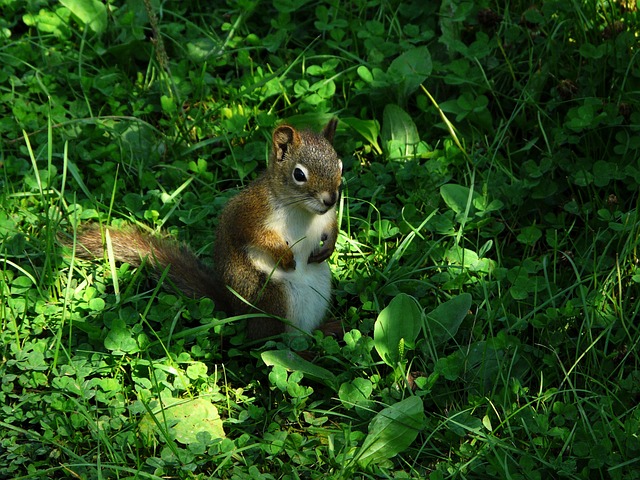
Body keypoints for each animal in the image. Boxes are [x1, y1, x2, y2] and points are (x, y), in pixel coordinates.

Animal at [72, 118, 342, 340]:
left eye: (339, 165)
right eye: (299, 174)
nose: (330, 199)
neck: (303, 211)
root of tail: (236, 312)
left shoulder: (326, 217)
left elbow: (332, 227)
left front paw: (328, 246)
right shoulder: (252, 214)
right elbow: (256, 237)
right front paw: (284, 255)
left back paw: (327, 330)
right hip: (273, 298)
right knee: (266, 344)